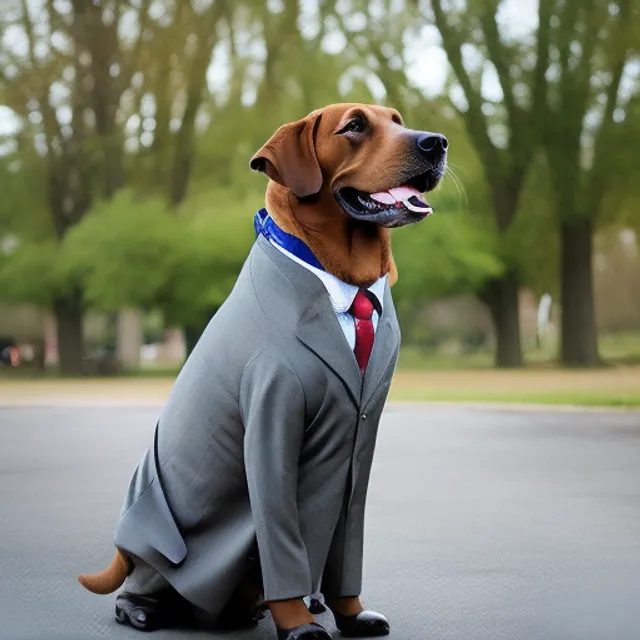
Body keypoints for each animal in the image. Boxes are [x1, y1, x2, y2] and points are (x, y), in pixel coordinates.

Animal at [80, 105, 448, 640]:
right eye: (354, 125)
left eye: (398, 120)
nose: (436, 142)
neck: (341, 276)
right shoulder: (271, 418)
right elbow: (281, 537)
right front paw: (296, 622)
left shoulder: (361, 440)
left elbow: (345, 538)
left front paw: (350, 611)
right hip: (155, 547)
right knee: (141, 584)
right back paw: (145, 609)